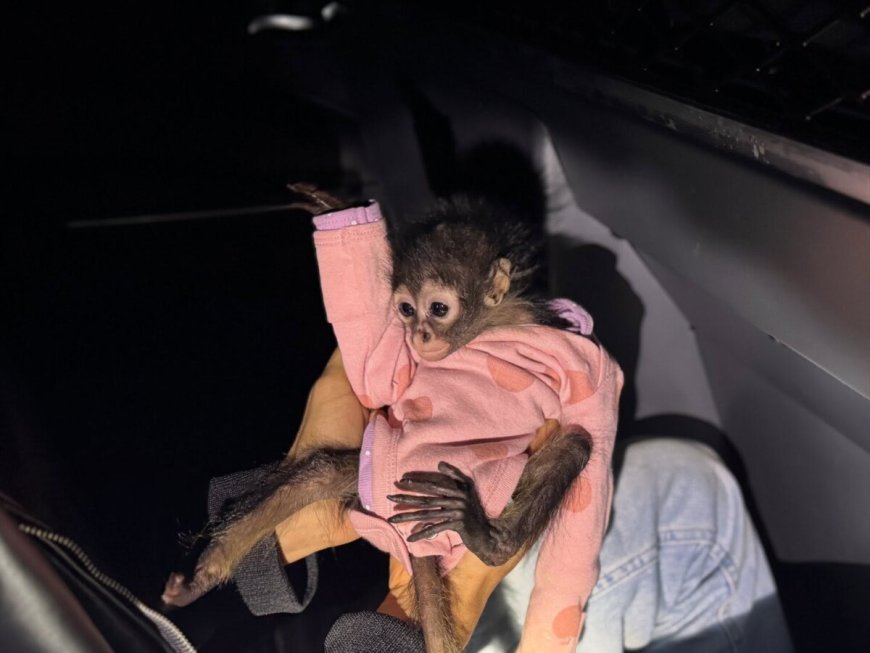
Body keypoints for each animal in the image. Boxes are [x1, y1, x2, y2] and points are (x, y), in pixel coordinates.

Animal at [165, 185, 628, 652]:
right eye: (406, 310)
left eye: (437, 308)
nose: (419, 335)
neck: (488, 327)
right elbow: (376, 379)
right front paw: (334, 209)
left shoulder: (579, 358)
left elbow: (596, 418)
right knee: (319, 471)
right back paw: (203, 576)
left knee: (578, 444)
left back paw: (490, 541)